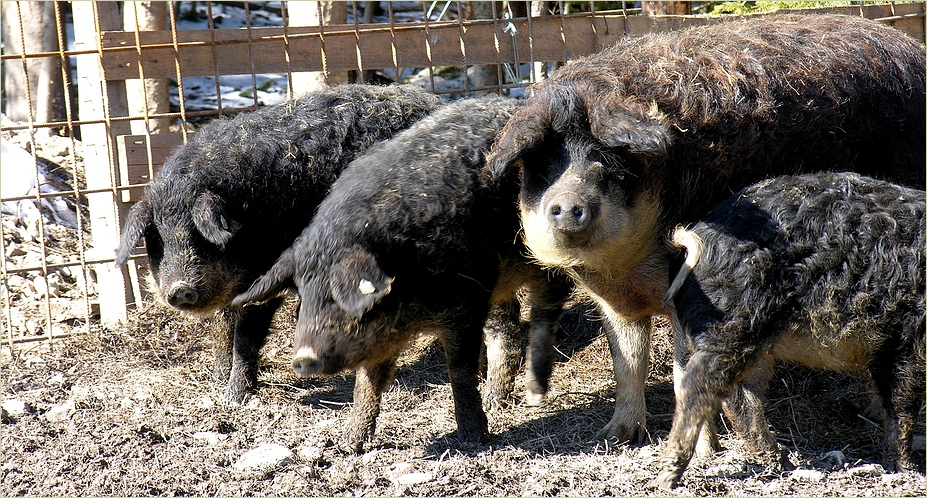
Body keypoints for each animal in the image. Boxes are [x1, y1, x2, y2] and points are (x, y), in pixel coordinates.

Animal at [115, 84, 442, 404]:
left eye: (197, 232)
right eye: (157, 237)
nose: (179, 289)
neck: (247, 211)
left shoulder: (264, 275)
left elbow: (246, 335)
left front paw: (234, 398)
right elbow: (222, 323)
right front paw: (218, 377)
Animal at [232, 96, 572, 452]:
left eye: (336, 297)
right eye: (303, 300)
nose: (302, 358)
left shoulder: (464, 306)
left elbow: (460, 372)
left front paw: (473, 439)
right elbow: (366, 383)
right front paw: (348, 444)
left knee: (545, 304)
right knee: (506, 323)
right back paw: (497, 401)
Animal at [656, 173, 924, 488]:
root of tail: (694, 238)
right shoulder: (905, 338)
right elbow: (902, 407)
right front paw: (909, 469)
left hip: (755, 340)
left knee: (740, 396)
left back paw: (778, 462)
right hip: (731, 323)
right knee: (697, 386)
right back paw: (667, 478)